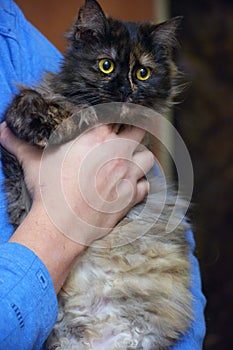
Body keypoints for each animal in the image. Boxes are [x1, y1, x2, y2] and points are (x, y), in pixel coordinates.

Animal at [1, 0, 193, 350]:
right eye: (106, 66)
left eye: (142, 73)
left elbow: (77, 114)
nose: (125, 90)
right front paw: (33, 121)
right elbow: (22, 105)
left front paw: (51, 123)